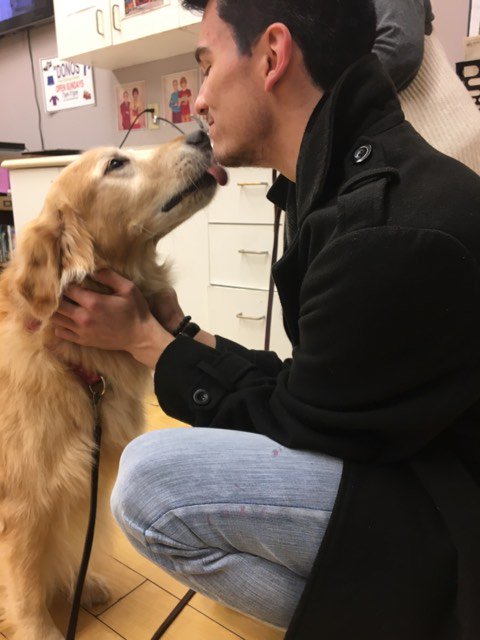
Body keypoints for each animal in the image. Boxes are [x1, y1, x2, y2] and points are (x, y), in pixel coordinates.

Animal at [0, 131, 227, 640]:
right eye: (116, 164)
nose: (201, 132)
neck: (67, 359)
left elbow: (73, 545)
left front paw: (83, 585)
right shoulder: (20, 509)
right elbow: (26, 586)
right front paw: (42, 629)